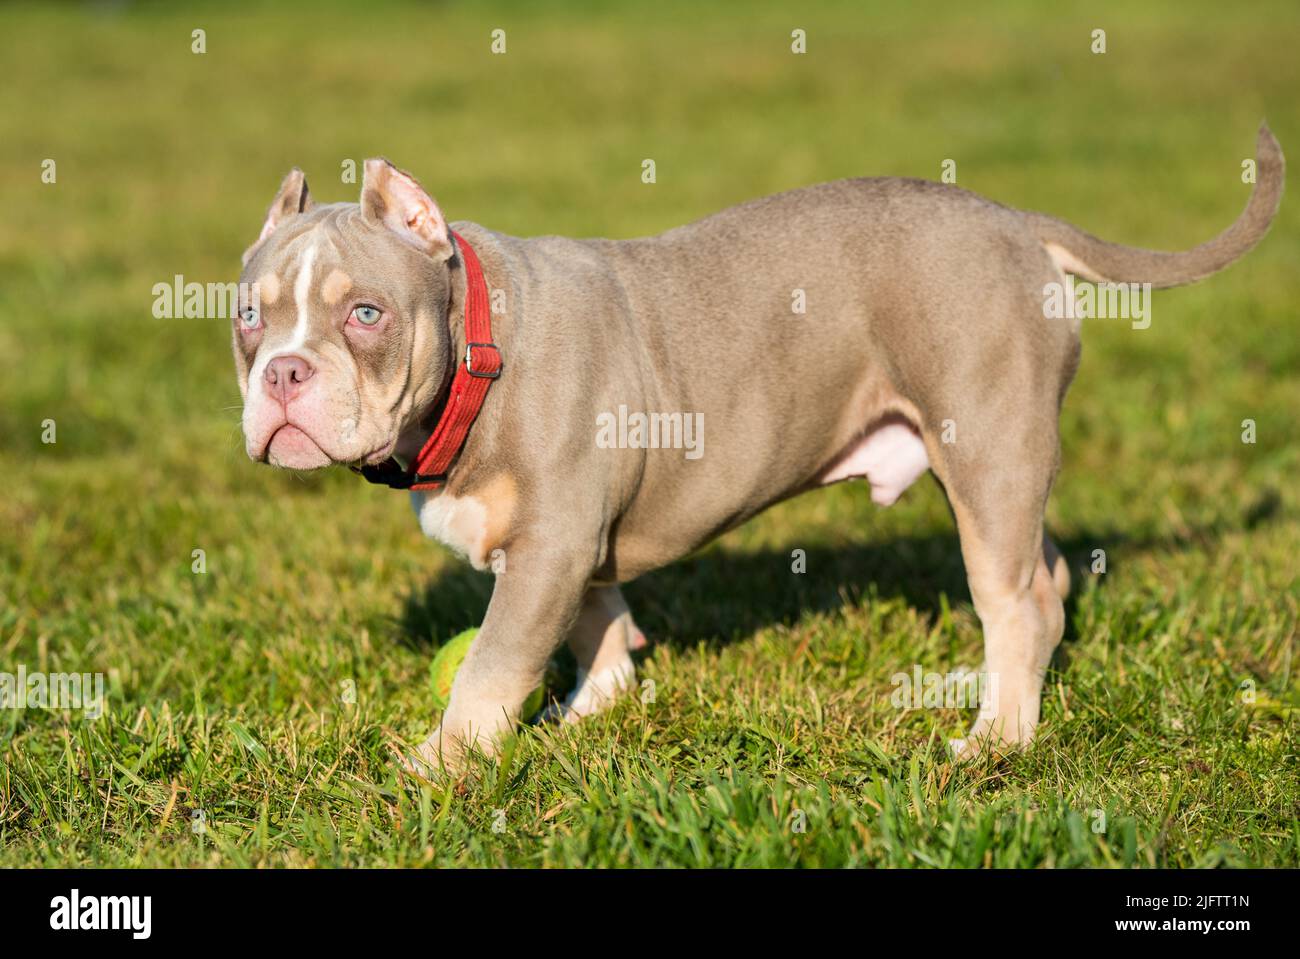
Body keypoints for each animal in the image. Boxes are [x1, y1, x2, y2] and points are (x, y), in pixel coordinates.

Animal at [231, 127, 1279, 769]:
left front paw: (438, 765)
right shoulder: (573, 549)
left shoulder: (550, 546)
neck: (477, 353)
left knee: (1013, 598)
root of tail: (1018, 224)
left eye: (365, 315)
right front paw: (592, 708)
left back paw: (996, 740)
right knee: (1046, 573)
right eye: (247, 317)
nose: (282, 374)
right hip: (995, 463)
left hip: (987, 441)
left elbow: (492, 666)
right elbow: (595, 622)